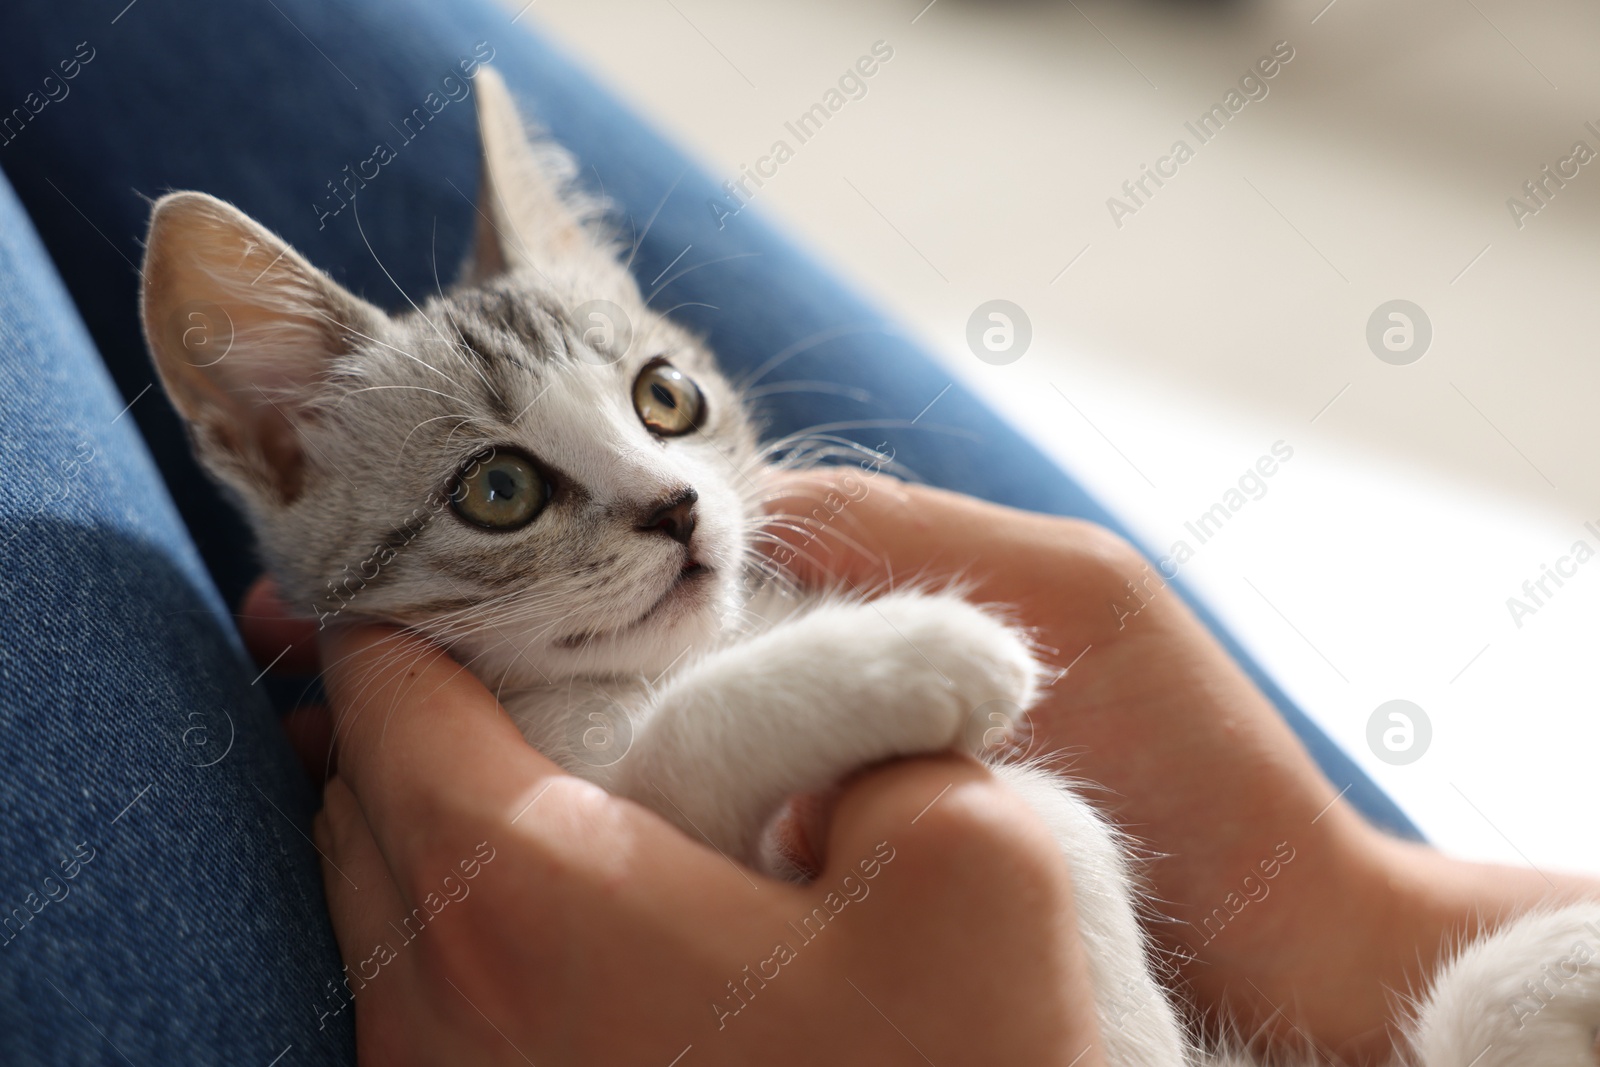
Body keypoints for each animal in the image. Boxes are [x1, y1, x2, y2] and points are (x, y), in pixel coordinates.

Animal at [140, 68, 1600, 1067]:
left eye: (664, 396)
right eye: (497, 490)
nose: (678, 507)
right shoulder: (645, 816)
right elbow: (689, 749)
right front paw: (911, 649)